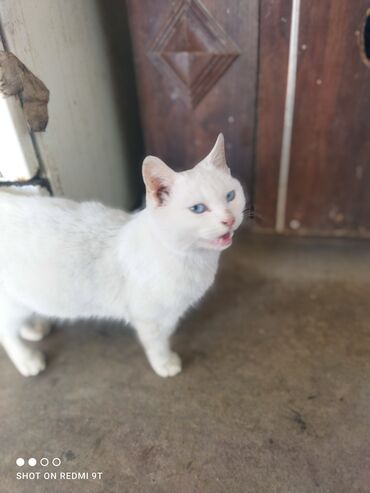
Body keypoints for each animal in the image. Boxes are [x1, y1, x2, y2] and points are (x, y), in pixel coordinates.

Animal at [1, 134, 247, 376]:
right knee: (6, 331)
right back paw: (27, 360)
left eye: (230, 196)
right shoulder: (150, 319)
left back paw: (32, 328)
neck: (191, 257)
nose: (229, 220)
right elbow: (157, 343)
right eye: (198, 209)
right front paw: (164, 363)